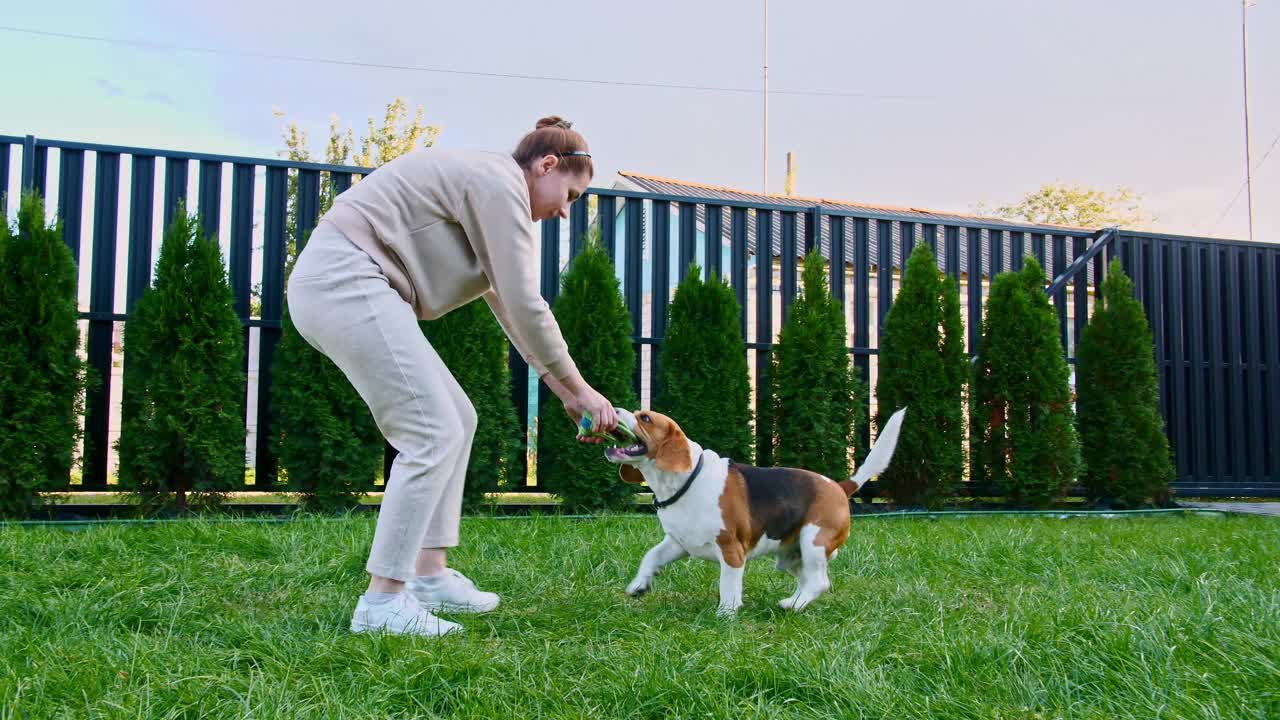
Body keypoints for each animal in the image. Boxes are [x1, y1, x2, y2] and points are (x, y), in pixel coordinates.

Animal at [604, 407, 906, 614]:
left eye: (645, 418)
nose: (614, 409)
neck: (685, 480)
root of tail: (840, 486)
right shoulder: (679, 543)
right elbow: (651, 557)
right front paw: (639, 585)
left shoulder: (731, 550)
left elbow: (728, 586)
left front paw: (725, 615)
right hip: (790, 556)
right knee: (808, 580)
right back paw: (795, 601)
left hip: (814, 542)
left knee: (819, 581)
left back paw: (792, 605)